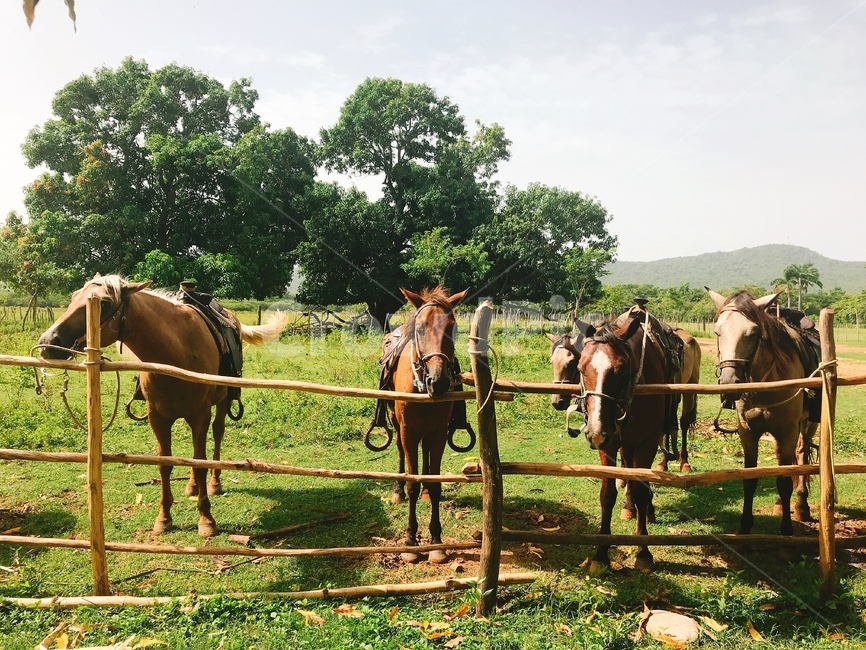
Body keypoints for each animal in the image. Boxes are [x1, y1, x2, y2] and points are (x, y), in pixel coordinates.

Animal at [37, 274, 289, 537]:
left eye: (103, 303)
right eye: (74, 297)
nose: (48, 342)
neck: (175, 352)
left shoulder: (200, 414)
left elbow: (200, 462)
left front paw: (206, 520)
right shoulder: (157, 417)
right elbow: (165, 464)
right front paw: (164, 518)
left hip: (221, 402)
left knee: (217, 435)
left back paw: (214, 483)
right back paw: (192, 486)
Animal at [386, 287, 467, 563]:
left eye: (452, 328)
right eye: (420, 329)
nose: (438, 382)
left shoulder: (439, 432)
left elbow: (434, 483)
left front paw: (436, 541)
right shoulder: (409, 431)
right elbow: (412, 482)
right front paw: (411, 540)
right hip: (398, 426)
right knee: (400, 453)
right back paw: (397, 490)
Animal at [574, 311, 667, 573]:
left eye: (620, 369)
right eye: (580, 367)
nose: (595, 430)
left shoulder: (647, 444)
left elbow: (642, 491)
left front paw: (643, 551)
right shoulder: (609, 445)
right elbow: (607, 494)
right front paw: (600, 554)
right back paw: (629, 507)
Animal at [706, 288, 817, 534]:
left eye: (754, 333)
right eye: (717, 331)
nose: (729, 382)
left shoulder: (787, 431)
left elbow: (784, 481)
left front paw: (786, 528)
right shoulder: (748, 432)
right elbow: (750, 478)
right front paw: (745, 525)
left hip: (808, 425)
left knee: (802, 455)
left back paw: (802, 506)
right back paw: (780, 505)